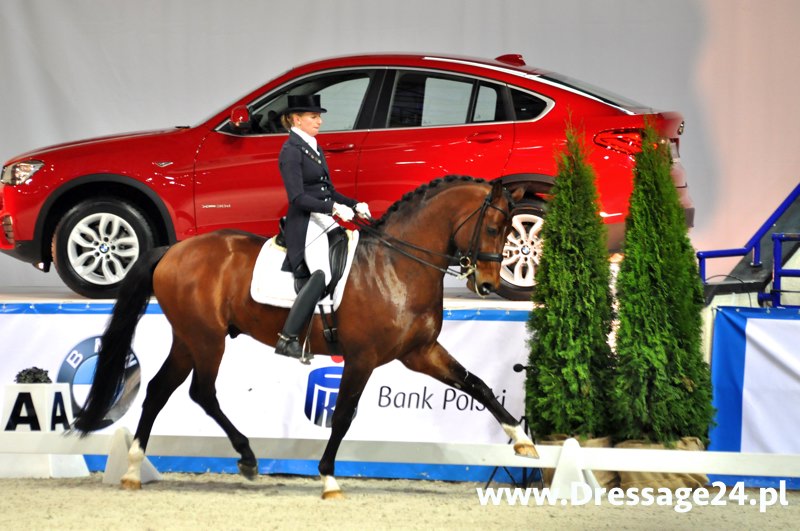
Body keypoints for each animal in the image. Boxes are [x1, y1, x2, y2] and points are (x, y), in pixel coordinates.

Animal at [72, 175, 538, 499]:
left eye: (510, 230)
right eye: (494, 228)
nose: (487, 285)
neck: (396, 266)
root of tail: (172, 250)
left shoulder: (420, 351)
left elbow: (476, 384)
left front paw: (523, 441)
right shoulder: (363, 358)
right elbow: (344, 415)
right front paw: (329, 478)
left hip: (189, 338)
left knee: (157, 390)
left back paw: (134, 470)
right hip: (207, 339)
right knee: (201, 392)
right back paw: (247, 458)